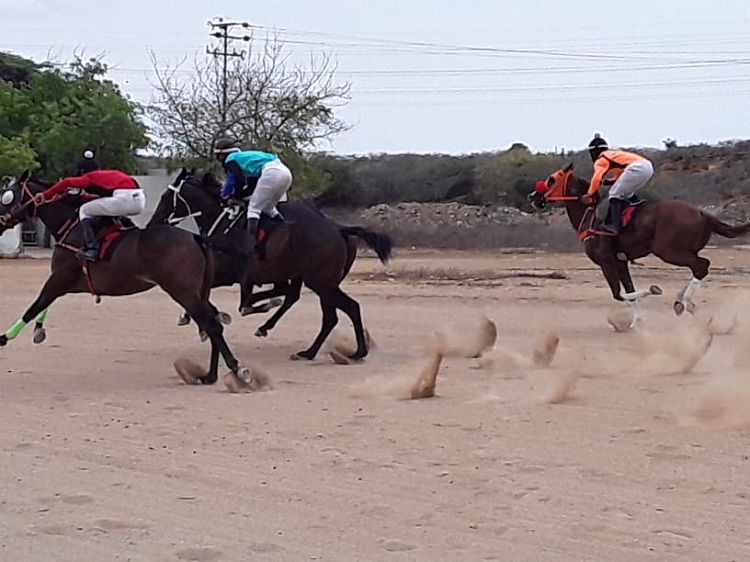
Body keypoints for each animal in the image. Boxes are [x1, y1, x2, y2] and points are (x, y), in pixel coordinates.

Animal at [0, 171, 262, 390]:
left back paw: (238, 370)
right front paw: (38, 330)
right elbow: (43, 305)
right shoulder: (66, 283)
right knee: (213, 322)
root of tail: (197, 238)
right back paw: (210, 374)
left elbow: (34, 306)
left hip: (183, 292)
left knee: (212, 325)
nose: (1, 221)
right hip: (198, 292)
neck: (72, 228)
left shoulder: (59, 279)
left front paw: (4, 338)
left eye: (8, 197)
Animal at [147, 168, 394, 358]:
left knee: (347, 308)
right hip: (321, 281)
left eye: (164, 197)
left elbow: (236, 301)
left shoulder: (229, 274)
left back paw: (351, 352)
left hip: (320, 281)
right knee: (328, 314)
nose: (152, 223)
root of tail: (338, 228)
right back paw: (308, 350)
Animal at [528, 162, 750, 324]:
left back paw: (686, 302)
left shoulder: (606, 261)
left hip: (667, 251)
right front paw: (637, 322)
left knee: (701, 265)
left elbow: (618, 294)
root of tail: (702, 212)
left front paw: (653, 290)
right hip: (683, 250)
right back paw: (679, 301)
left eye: (551, 179)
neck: (590, 218)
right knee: (699, 266)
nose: (533, 196)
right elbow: (628, 291)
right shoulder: (620, 261)